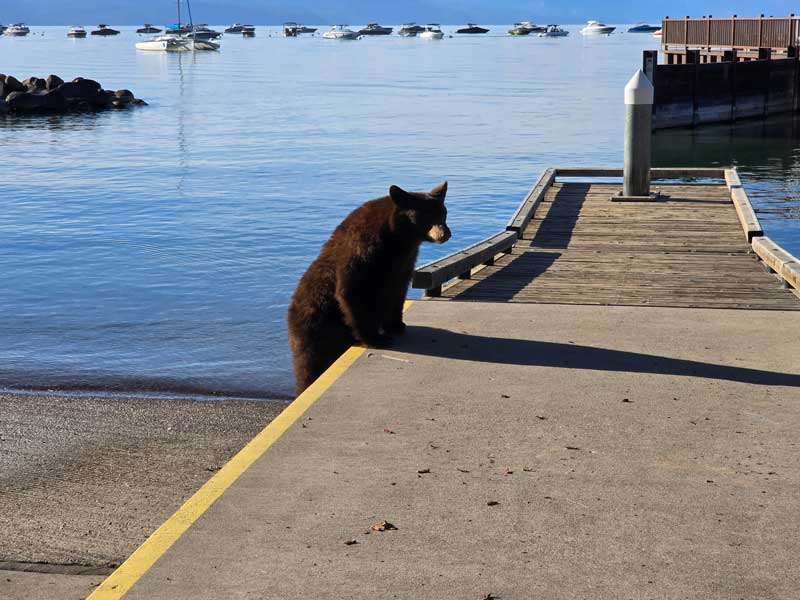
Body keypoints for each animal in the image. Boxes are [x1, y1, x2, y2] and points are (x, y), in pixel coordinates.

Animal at [287, 181, 451, 396]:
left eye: (443, 213)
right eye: (427, 216)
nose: (446, 234)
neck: (399, 239)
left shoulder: (405, 262)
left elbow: (398, 291)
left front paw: (396, 325)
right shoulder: (365, 250)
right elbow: (352, 291)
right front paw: (375, 339)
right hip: (315, 332)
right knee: (310, 366)